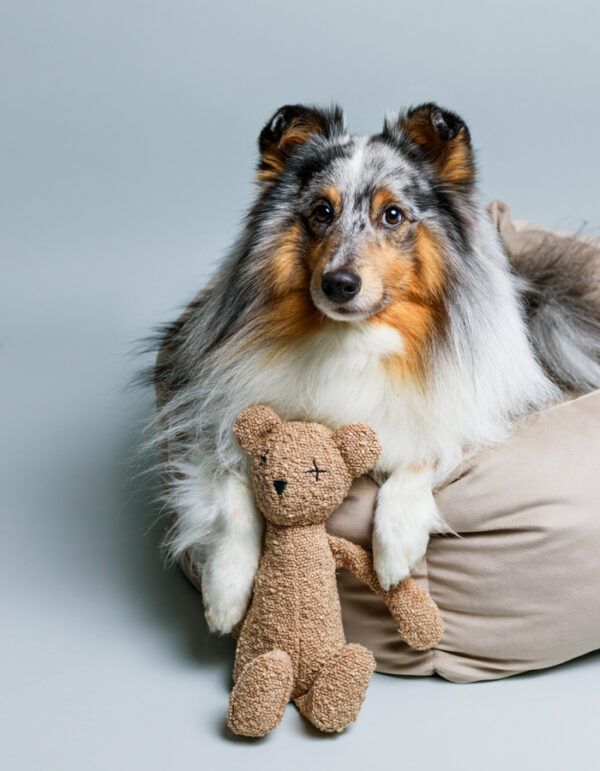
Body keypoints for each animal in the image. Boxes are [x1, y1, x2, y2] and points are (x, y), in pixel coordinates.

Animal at [154, 102, 600, 632]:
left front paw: (396, 544)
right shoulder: (215, 409)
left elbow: (426, 446)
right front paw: (224, 591)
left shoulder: (472, 409)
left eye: (392, 215)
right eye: (321, 212)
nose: (339, 284)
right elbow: (230, 484)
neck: (355, 340)